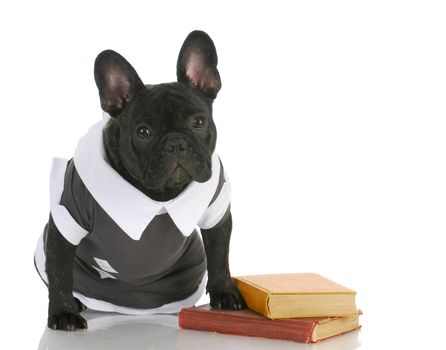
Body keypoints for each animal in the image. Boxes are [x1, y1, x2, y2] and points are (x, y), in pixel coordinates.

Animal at [34, 30, 244, 330]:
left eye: (199, 123)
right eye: (143, 132)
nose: (176, 143)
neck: (160, 195)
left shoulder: (216, 212)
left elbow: (219, 256)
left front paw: (224, 292)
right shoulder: (67, 220)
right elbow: (60, 271)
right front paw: (62, 313)